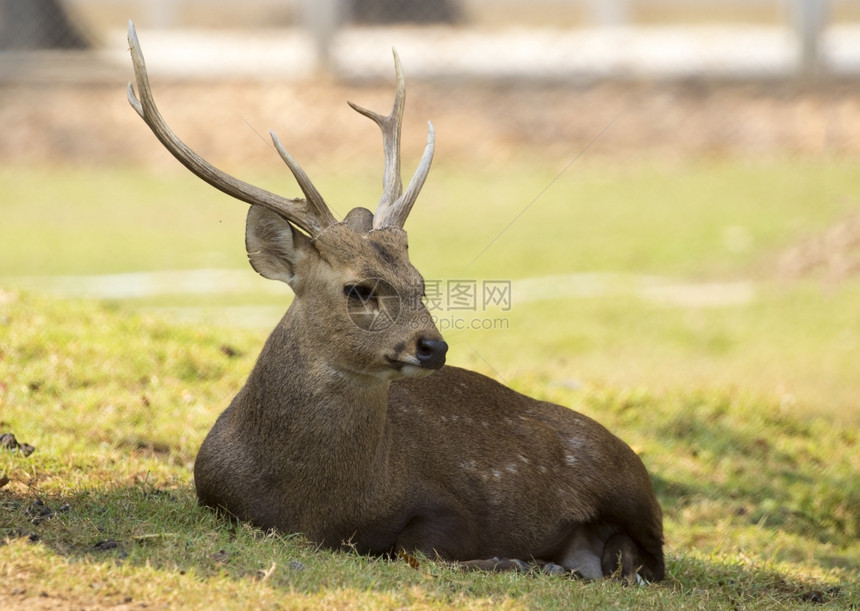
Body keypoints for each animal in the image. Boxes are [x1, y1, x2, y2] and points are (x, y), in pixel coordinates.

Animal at [127, 20, 664, 584]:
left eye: (420, 283)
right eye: (359, 289)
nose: (434, 347)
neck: (312, 510)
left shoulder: (445, 502)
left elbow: (415, 548)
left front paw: (514, 558)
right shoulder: (214, 497)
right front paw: (525, 561)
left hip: (625, 476)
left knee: (654, 558)